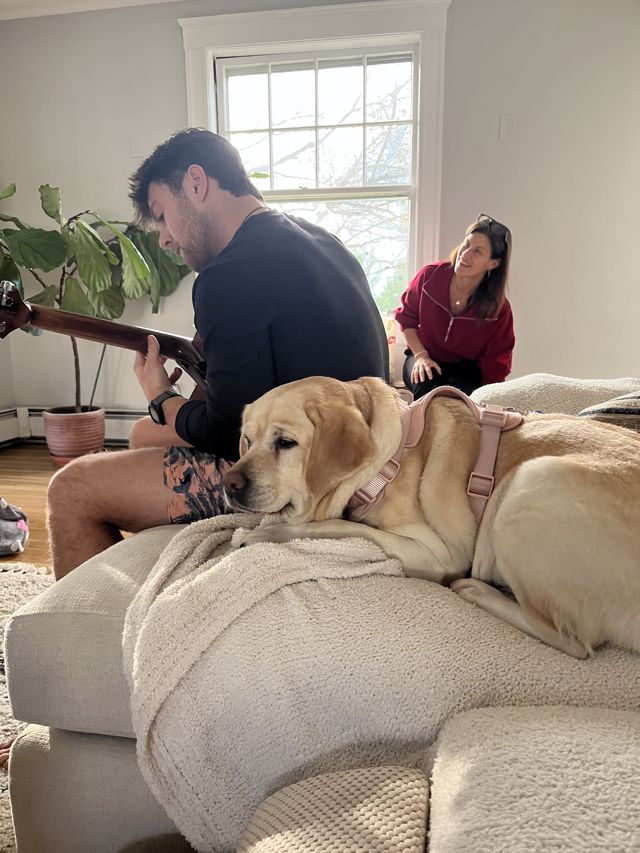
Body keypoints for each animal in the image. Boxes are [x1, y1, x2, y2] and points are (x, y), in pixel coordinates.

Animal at [223, 376, 640, 658]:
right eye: (247, 441)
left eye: (285, 443)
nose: (229, 483)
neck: (389, 457)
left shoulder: (438, 553)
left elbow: (339, 526)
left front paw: (266, 534)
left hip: (528, 485)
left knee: (576, 642)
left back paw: (478, 591)